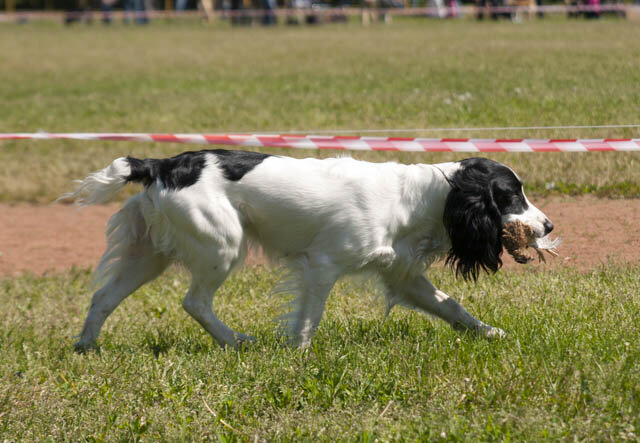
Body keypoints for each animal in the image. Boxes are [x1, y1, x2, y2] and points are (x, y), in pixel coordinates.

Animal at [66, 151, 556, 352]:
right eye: (512, 195)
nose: (549, 226)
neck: (417, 197)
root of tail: (161, 165)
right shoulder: (322, 265)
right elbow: (309, 318)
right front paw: (298, 354)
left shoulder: (403, 274)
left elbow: (453, 307)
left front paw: (492, 333)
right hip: (223, 244)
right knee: (195, 301)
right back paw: (234, 342)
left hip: (151, 254)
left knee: (103, 297)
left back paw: (86, 346)